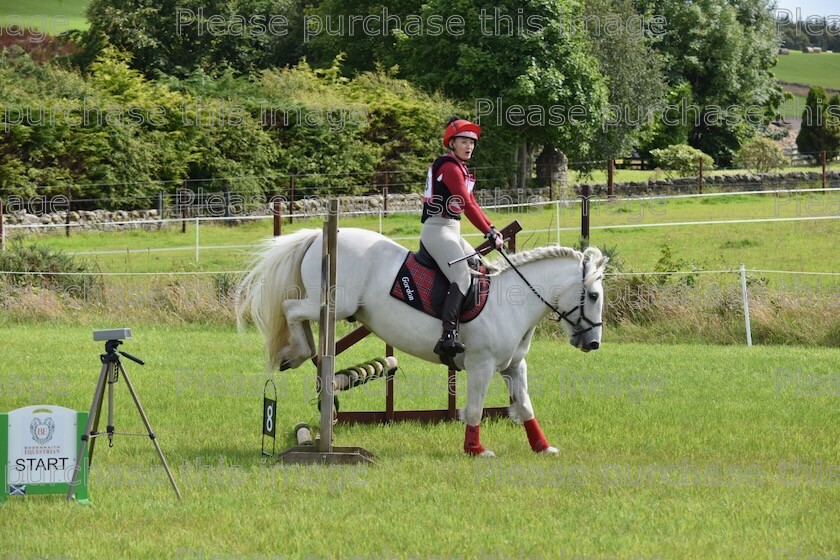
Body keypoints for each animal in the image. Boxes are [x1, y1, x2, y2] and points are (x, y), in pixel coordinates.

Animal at [240, 230, 608, 458]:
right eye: (592, 295)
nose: (593, 343)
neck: (511, 301)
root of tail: (319, 235)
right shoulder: (481, 365)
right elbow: (474, 409)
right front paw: (475, 450)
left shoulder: (514, 366)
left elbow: (527, 407)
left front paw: (543, 447)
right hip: (335, 304)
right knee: (291, 309)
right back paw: (299, 352)